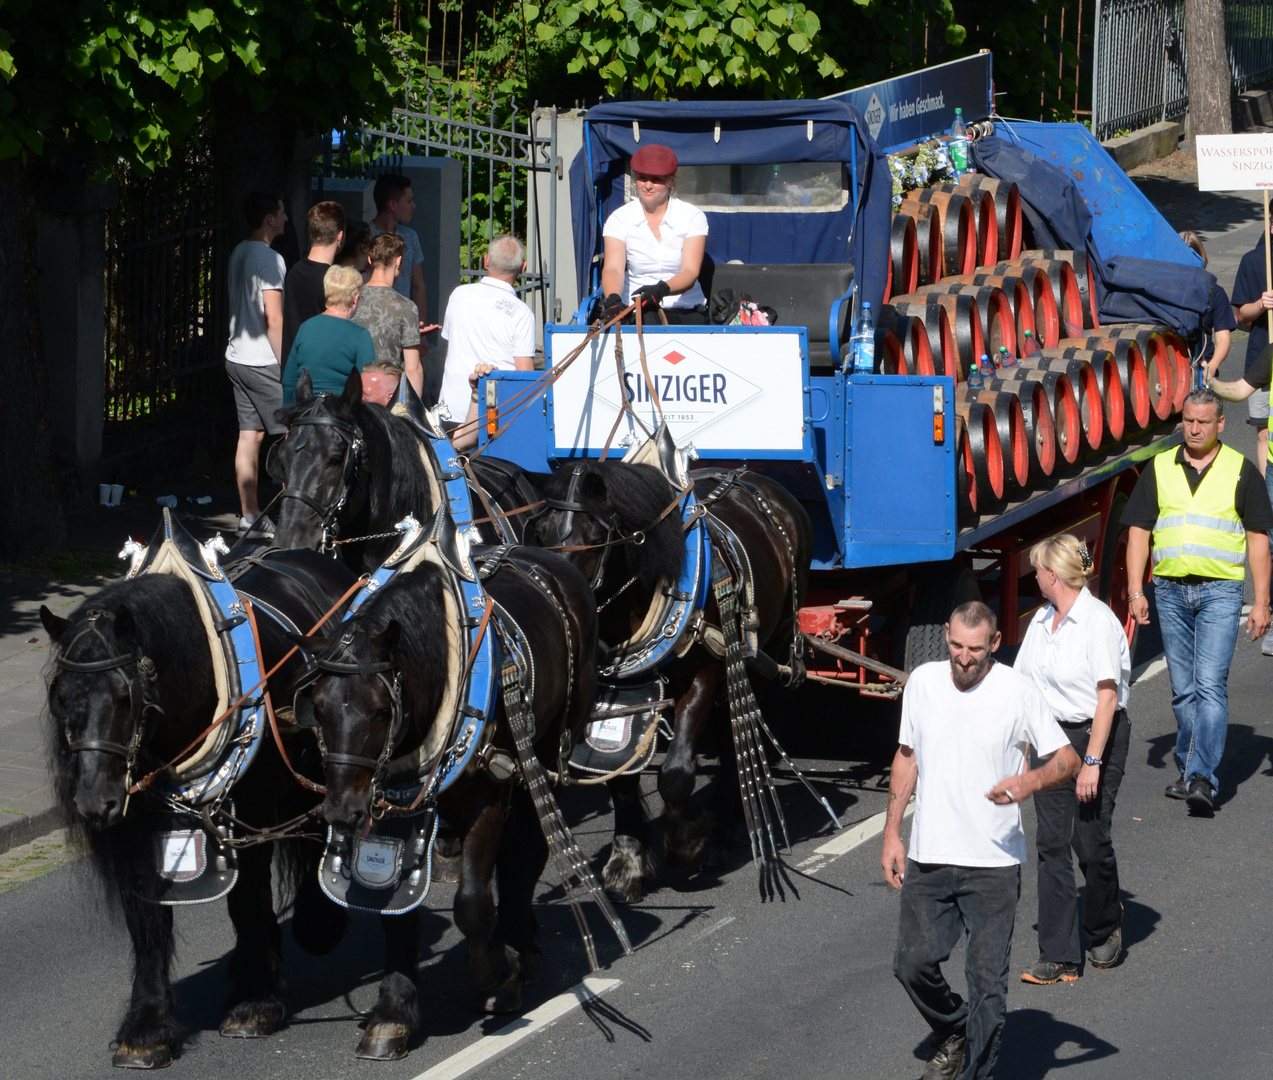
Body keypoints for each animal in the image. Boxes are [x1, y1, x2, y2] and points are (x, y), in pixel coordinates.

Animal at [39, 547, 358, 1064]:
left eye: (124, 696)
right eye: (60, 696)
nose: (94, 801)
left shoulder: (251, 815)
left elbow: (247, 900)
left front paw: (254, 1002)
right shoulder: (136, 830)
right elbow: (148, 923)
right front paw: (146, 1027)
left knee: (313, 836)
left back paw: (315, 926)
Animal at [306, 545, 600, 1049]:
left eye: (380, 711)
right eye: (319, 708)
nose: (342, 812)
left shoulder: (489, 791)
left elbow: (472, 903)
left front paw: (496, 974)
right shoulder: (390, 803)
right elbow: (394, 909)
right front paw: (393, 1011)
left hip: (547, 752)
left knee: (526, 852)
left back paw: (519, 949)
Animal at [527, 461, 814, 896]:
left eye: (596, 539)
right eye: (541, 532)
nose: (561, 600)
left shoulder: (704, 674)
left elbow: (676, 773)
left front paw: (686, 844)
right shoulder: (613, 692)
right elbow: (619, 777)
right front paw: (627, 859)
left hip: (766, 649)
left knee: (737, 736)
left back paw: (723, 831)